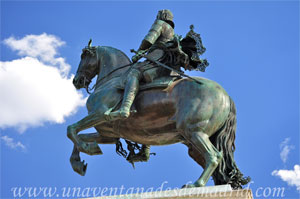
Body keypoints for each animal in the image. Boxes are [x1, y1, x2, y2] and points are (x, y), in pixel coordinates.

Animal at [68, 41, 251, 189]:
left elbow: (71, 130)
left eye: (84, 56)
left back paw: (195, 185)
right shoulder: (108, 134)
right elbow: (79, 136)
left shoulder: (100, 113)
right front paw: (80, 161)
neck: (112, 79)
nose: (76, 81)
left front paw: (87, 149)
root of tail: (226, 96)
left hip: (194, 132)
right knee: (218, 165)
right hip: (194, 142)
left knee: (214, 157)